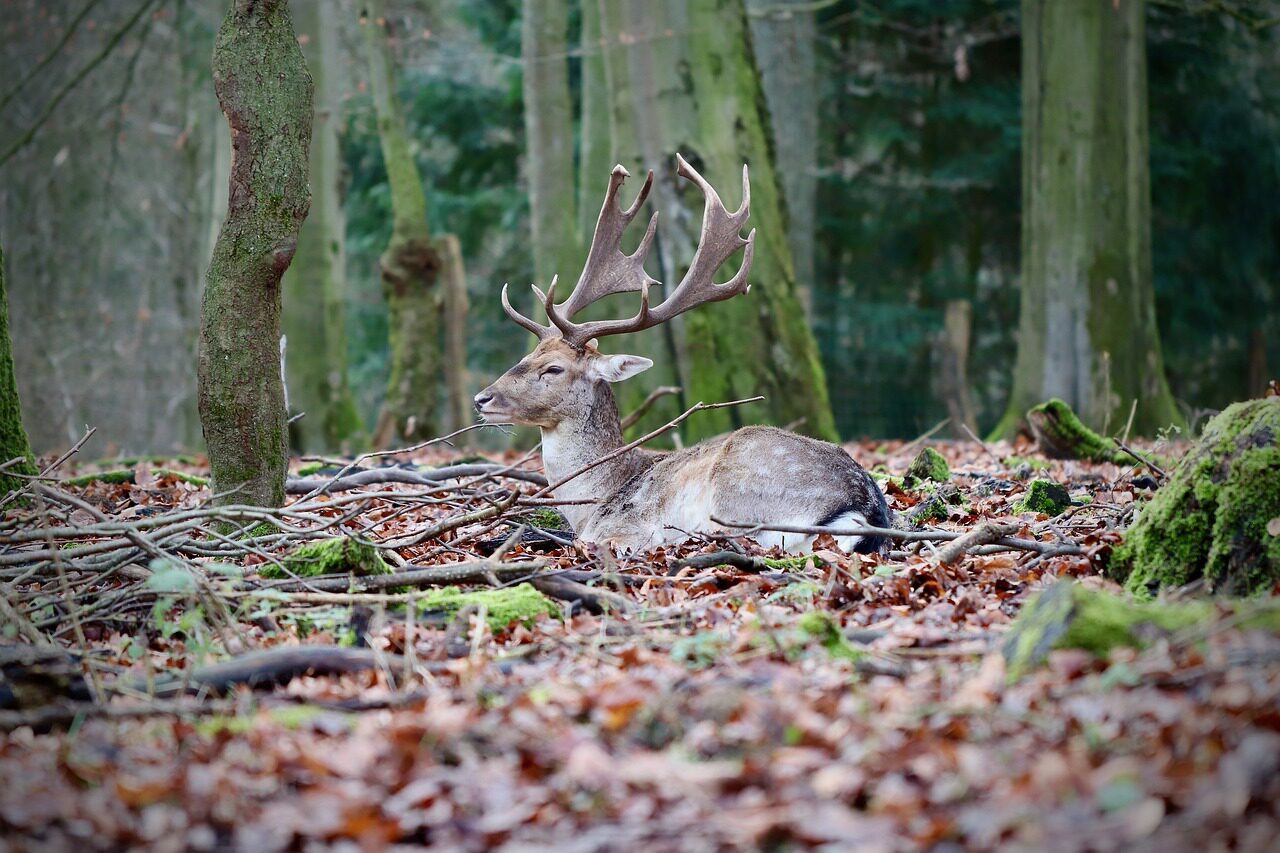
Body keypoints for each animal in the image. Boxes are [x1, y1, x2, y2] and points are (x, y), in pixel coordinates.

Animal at [473, 153, 890, 555]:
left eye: (554, 369)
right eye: (529, 356)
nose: (481, 398)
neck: (593, 502)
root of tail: (865, 508)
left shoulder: (622, 528)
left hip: (737, 493)